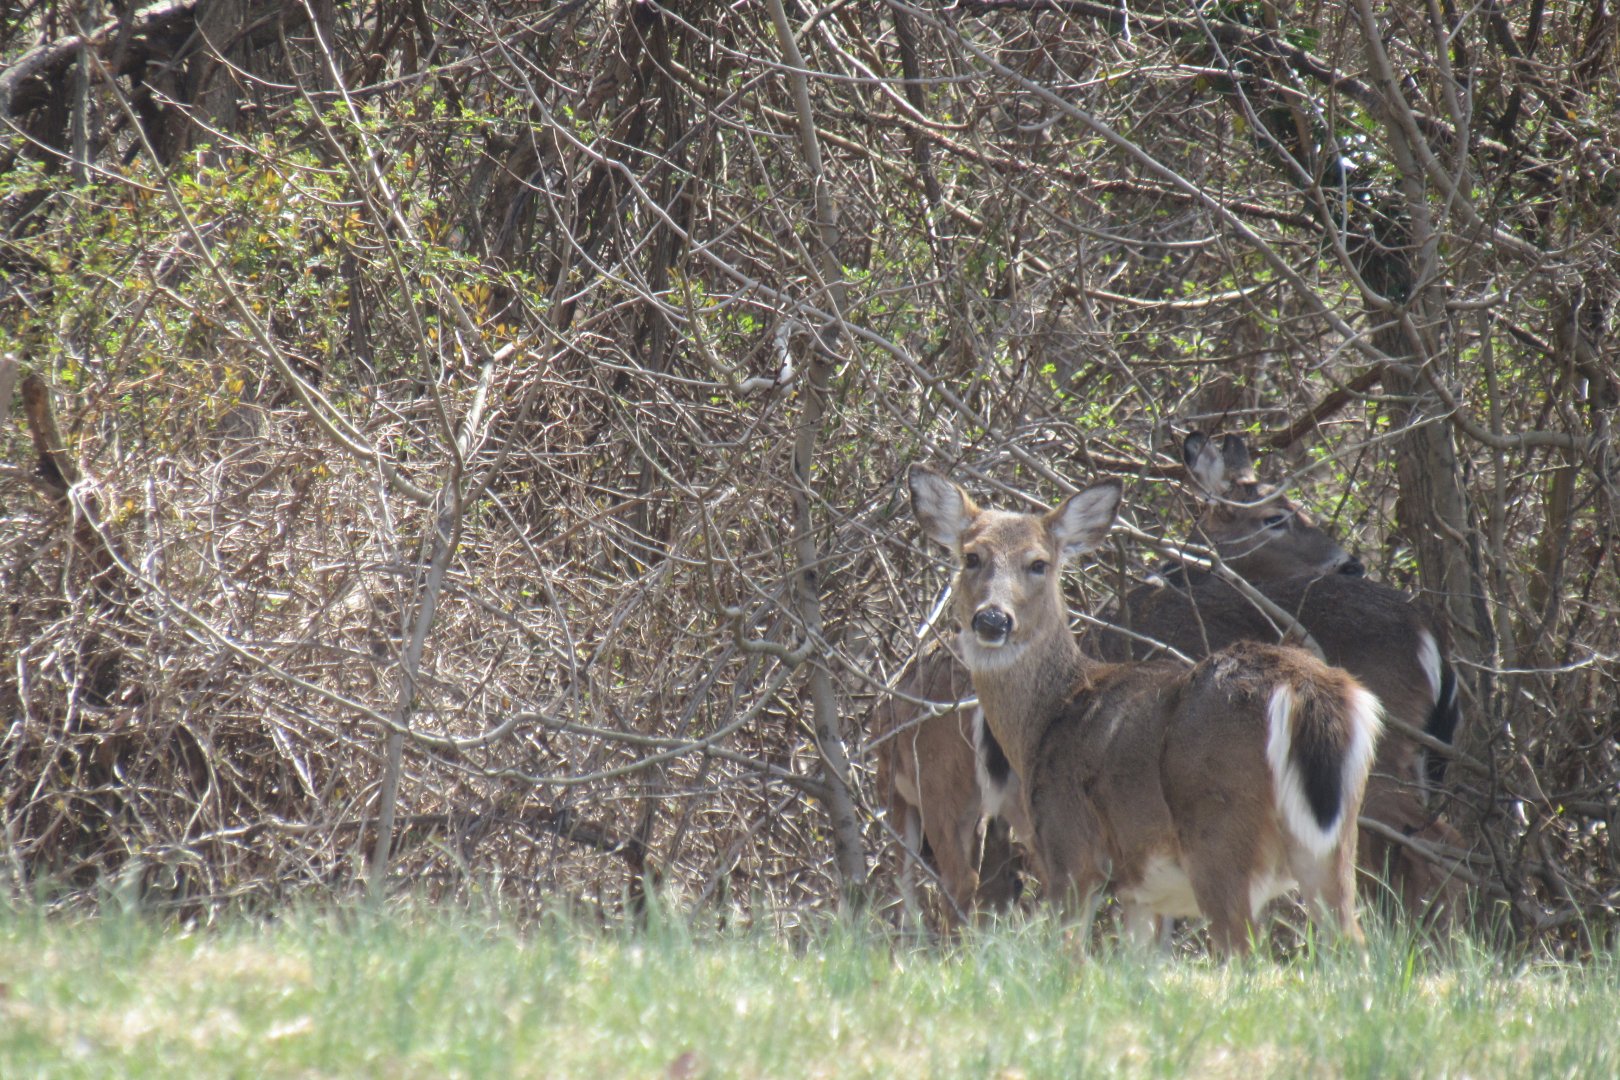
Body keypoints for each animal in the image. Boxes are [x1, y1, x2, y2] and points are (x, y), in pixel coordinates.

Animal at [871, 644, 1027, 926]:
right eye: (1016, 882)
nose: (1000, 923)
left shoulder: (899, 795)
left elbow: (905, 878)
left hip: (937, 784)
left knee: (959, 879)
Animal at [909, 465, 1383, 955]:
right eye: (971, 557)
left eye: (1039, 563)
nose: (992, 619)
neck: (1049, 715)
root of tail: (1304, 689)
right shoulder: (1143, 892)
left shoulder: (1069, 850)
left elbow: (1070, 955)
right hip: (1334, 844)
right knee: (1354, 943)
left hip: (1219, 838)